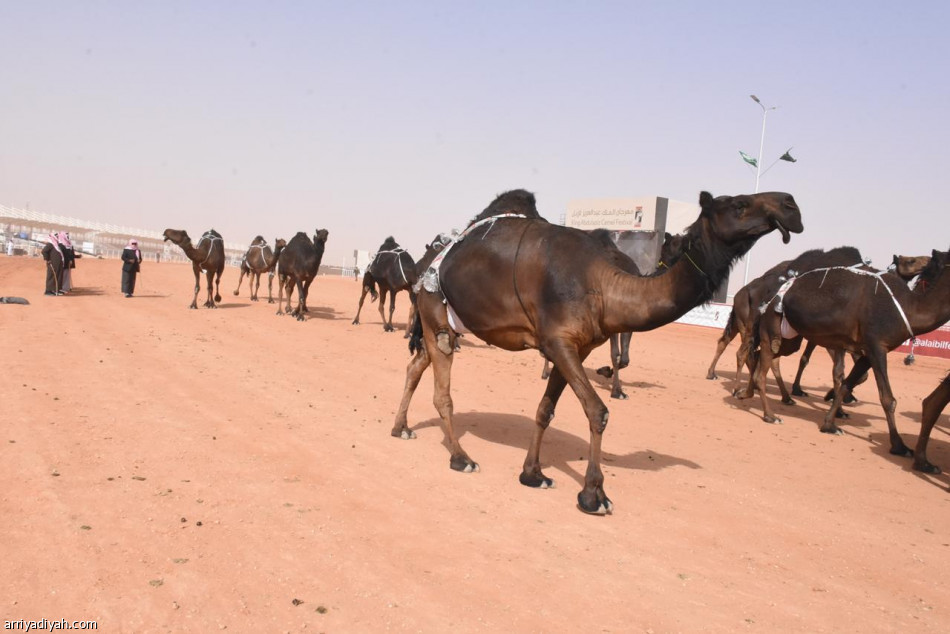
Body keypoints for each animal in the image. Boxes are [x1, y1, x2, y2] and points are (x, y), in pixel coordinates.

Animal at [394, 188, 804, 512]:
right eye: (739, 203)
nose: (791, 205)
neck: (604, 285)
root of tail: (428, 265)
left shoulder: (577, 348)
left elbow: (545, 410)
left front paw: (533, 474)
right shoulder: (558, 341)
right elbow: (598, 411)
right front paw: (594, 495)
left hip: (445, 322)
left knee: (416, 366)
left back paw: (401, 428)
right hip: (433, 310)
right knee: (442, 391)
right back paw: (461, 458)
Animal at [752, 249, 950, 466]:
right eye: (911, 260)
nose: (926, 262)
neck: (909, 308)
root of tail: (770, 296)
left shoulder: (866, 352)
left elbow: (847, 382)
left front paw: (830, 423)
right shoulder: (876, 346)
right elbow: (887, 398)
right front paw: (899, 446)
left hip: (791, 336)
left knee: (763, 356)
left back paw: (746, 393)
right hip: (773, 326)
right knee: (763, 367)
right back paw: (770, 415)